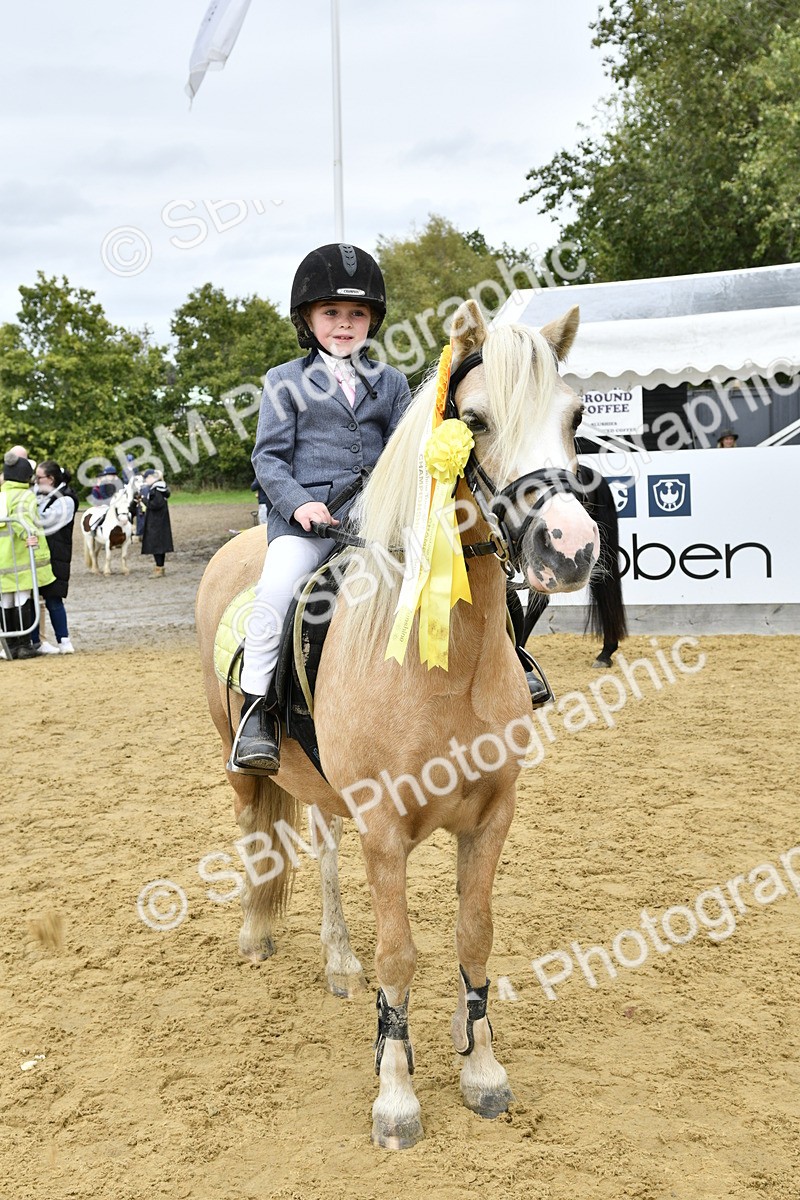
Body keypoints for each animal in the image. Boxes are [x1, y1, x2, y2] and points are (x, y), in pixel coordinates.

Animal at [195, 299, 600, 1149]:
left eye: (576, 414)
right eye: (473, 421)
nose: (570, 548)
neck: (444, 657)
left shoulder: (491, 815)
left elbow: (473, 935)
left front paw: (481, 1069)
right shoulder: (384, 828)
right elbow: (400, 954)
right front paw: (396, 1095)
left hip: (319, 784)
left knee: (319, 852)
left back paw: (336, 964)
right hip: (237, 759)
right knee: (253, 832)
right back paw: (256, 939)